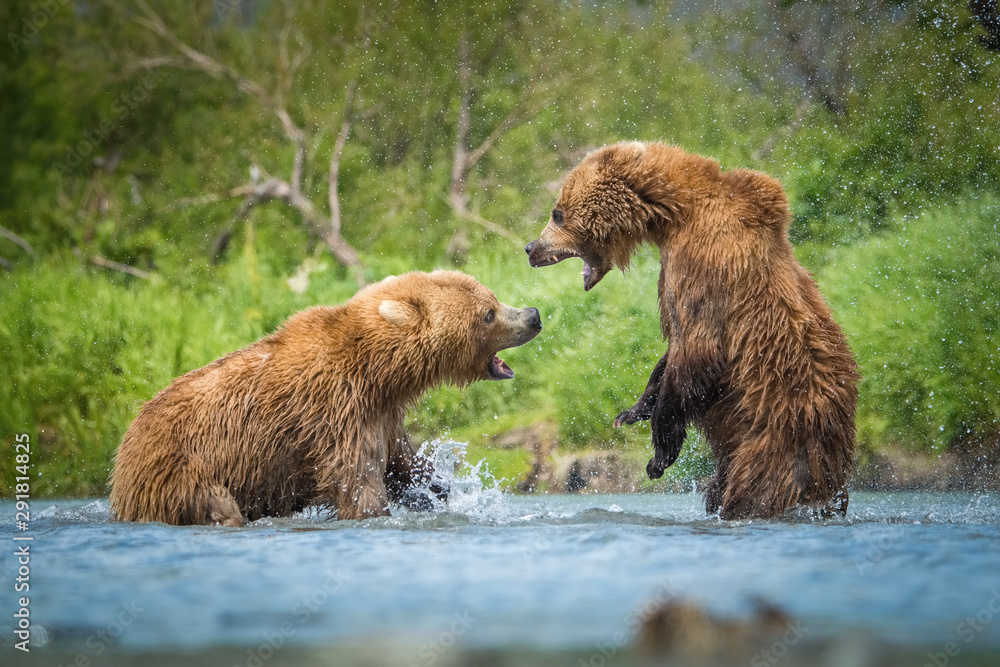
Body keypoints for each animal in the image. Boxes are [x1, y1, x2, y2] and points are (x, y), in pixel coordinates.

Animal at [109, 271, 542, 526]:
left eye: (492, 297)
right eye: (488, 314)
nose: (533, 315)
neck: (379, 371)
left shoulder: (381, 414)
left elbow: (402, 463)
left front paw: (437, 488)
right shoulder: (337, 412)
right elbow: (358, 483)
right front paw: (376, 512)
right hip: (180, 471)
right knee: (217, 505)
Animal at [525, 142, 858, 519]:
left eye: (557, 213)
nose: (530, 248)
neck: (674, 216)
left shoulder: (703, 267)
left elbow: (697, 353)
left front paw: (659, 453)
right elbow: (671, 353)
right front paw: (631, 412)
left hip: (774, 439)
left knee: (754, 492)